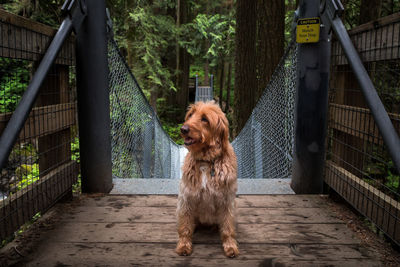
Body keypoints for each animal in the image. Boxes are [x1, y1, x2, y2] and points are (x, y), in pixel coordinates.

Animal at [177, 101, 239, 258]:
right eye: (191, 114)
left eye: (204, 119)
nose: (183, 129)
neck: (206, 161)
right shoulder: (186, 198)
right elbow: (185, 227)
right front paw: (184, 245)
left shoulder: (227, 201)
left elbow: (228, 228)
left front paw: (230, 246)